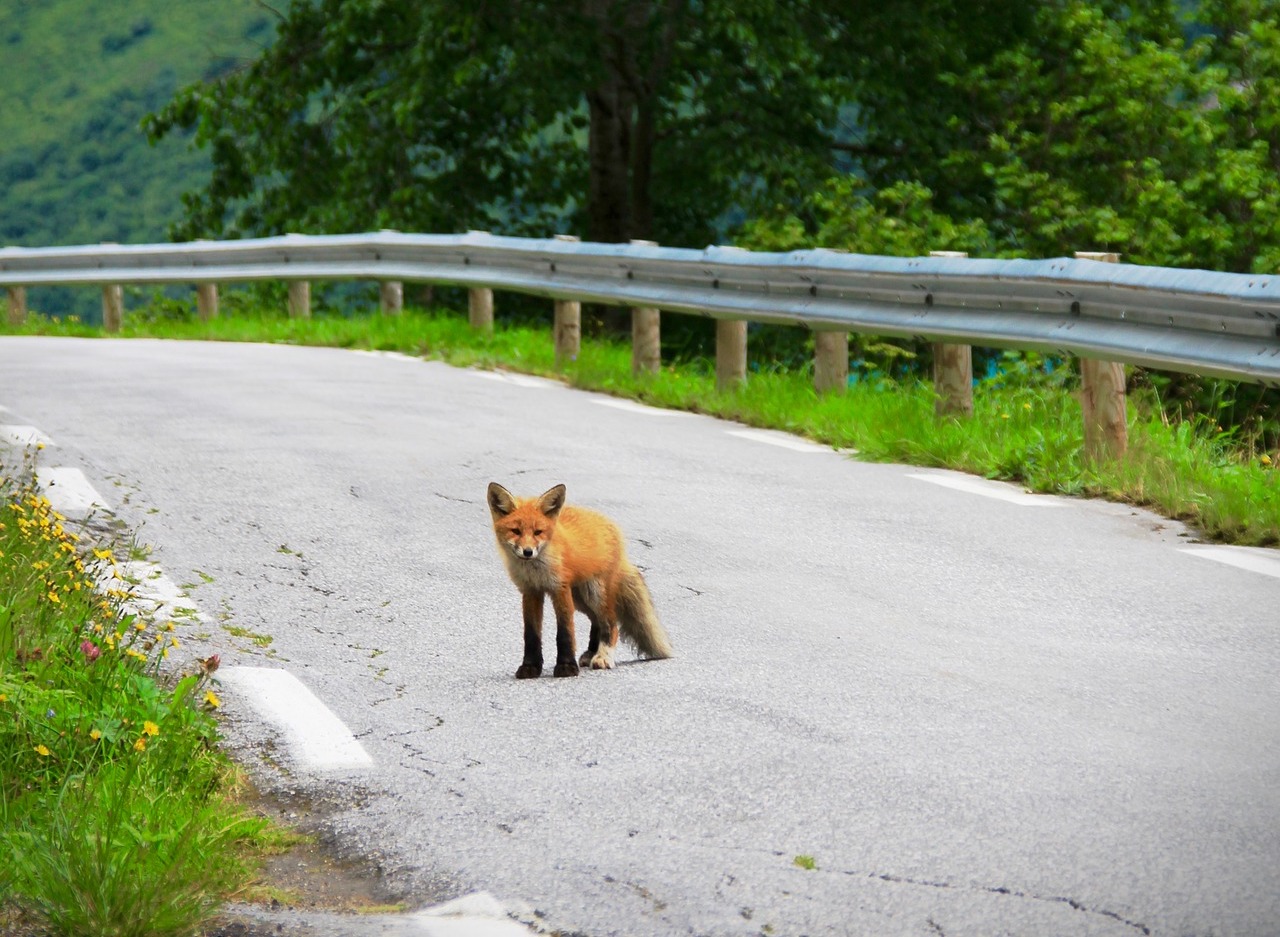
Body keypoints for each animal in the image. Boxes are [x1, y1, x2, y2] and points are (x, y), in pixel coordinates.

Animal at [483, 483, 675, 680]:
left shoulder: (560, 589)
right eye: (516, 531)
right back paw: (591, 652)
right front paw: (530, 667)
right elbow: (531, 635)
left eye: (538, 532)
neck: (537, 570)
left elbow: (565, 632)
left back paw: (603, 656)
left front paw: (566, 667)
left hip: (595, 593)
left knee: (610, 623)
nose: (528, 552)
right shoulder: (530, 591)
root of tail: (610, 524)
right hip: (580, 599)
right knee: (597, 622)